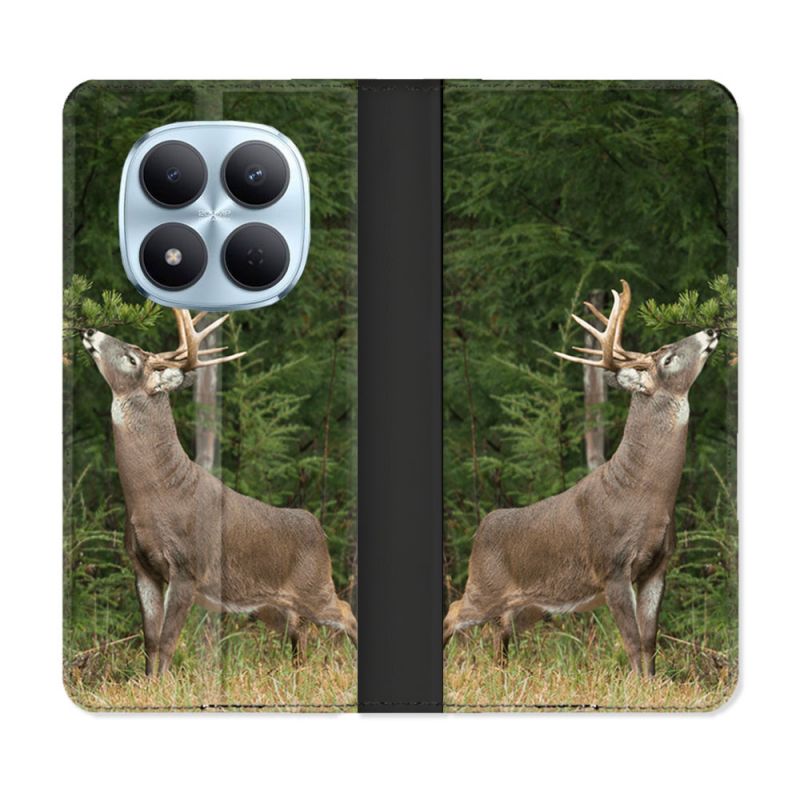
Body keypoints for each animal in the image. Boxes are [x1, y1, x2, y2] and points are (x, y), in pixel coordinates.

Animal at [82, 309, 357, 676]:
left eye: (132, 358)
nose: (89, 330)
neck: (156, 494)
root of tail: (317, 526)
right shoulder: (141, 566)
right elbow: (150, 641)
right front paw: (146, 682)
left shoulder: (187, 567)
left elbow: (168, 641)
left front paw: (161, 685)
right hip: (266, 603)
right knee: (300, 629)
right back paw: (297, 673)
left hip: (315, 585)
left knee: (345, 611)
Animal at [443, 280, 719, 676]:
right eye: (667, 358)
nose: (710, 331)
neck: (646, 494)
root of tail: (482, 528)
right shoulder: (612, 566)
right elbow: (632, 641)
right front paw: (637, 685)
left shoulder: (658, 565)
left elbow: (650, 641)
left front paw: (652, 683)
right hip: (484, 585)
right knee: (453, 612)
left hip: (530, 604)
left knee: (501, 630)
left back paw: (503, 672)